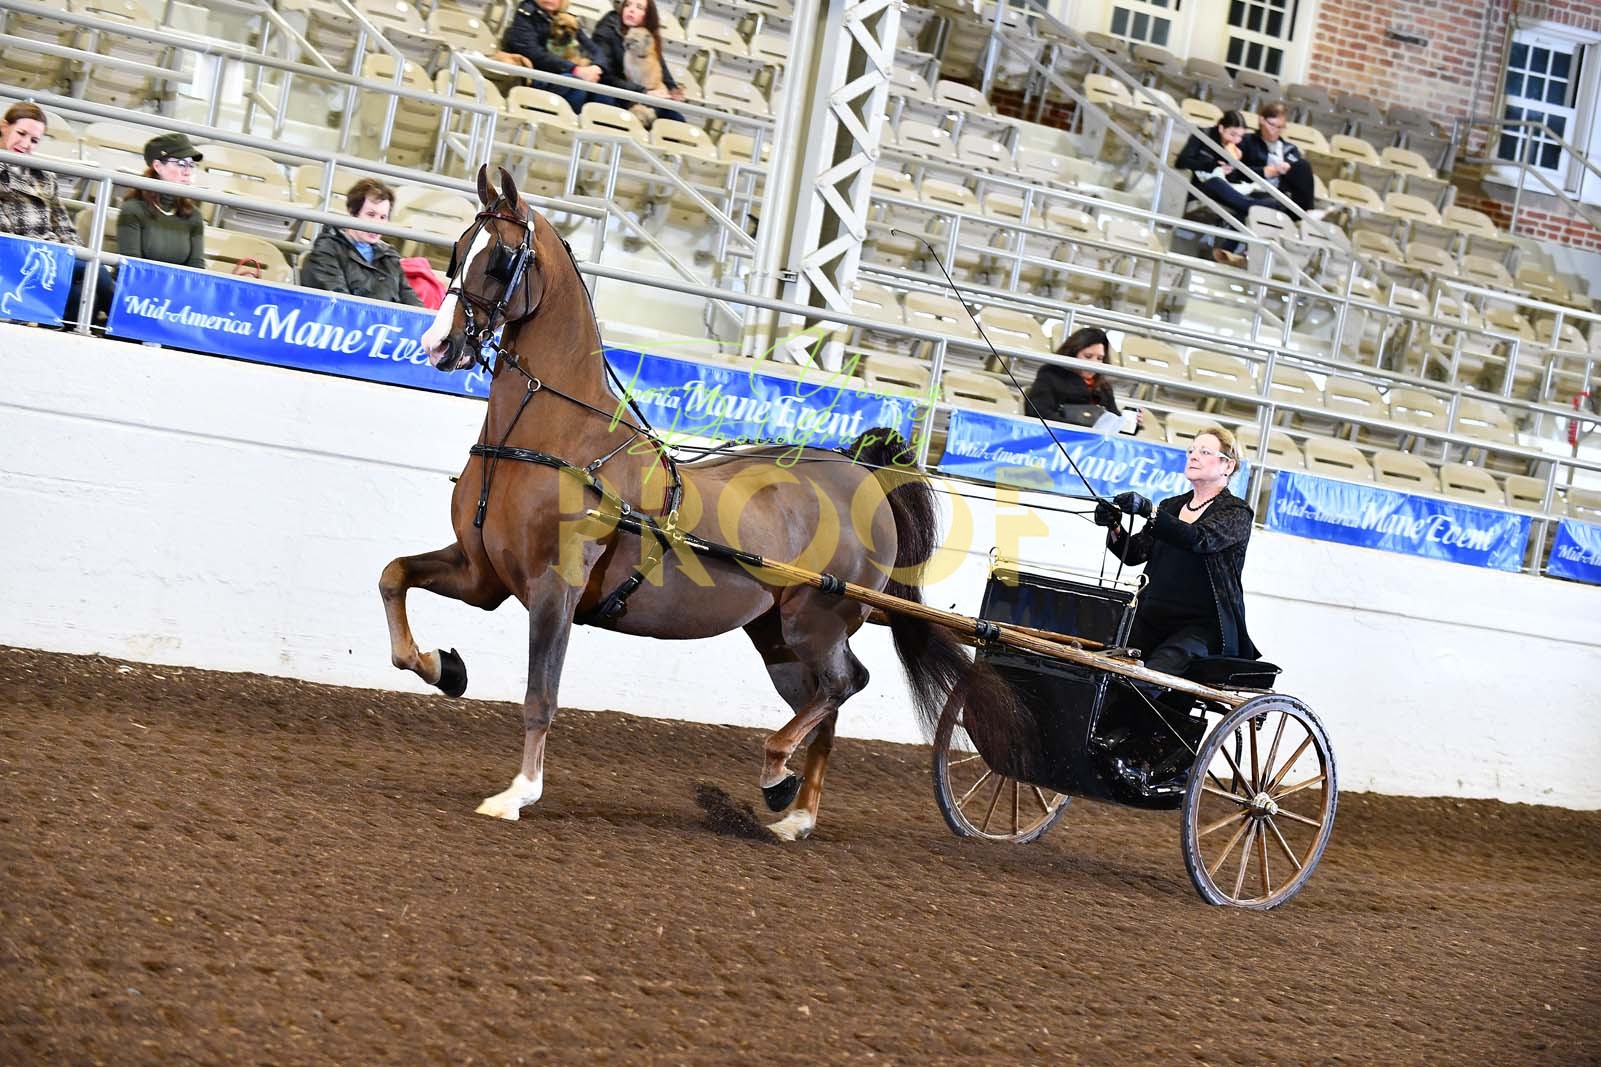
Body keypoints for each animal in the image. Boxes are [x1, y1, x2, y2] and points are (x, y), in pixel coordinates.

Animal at [381, 165, 1024, 839]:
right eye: (459, 248)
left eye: (503, 257)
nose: (438, 345)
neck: (555, 440)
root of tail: (858, 469)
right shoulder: (483, 575)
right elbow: (393, 577)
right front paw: (441, 666)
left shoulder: (555, 588)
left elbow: (540, 695)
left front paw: (519, 792)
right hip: (778, 638)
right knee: (826, 704)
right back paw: (796, 813)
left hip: (815, 622)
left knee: (844, 684)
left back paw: (776, 772)